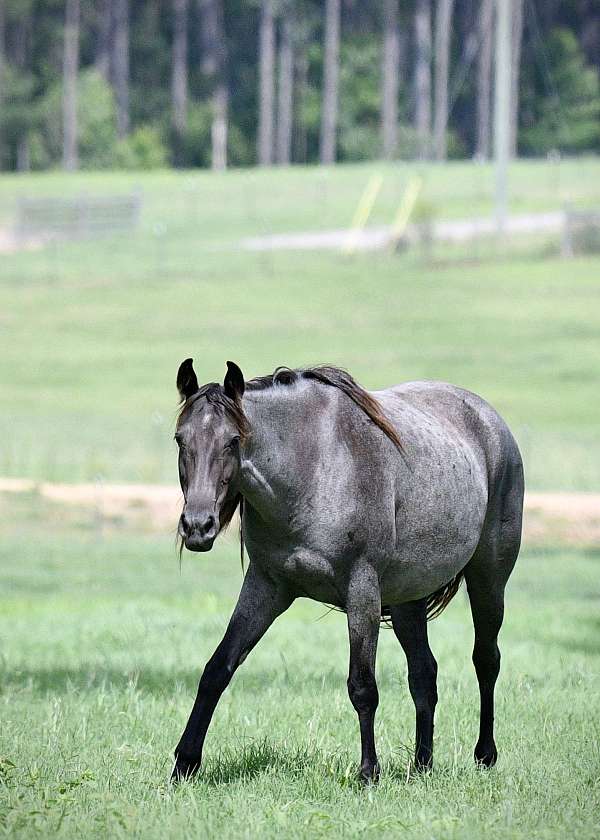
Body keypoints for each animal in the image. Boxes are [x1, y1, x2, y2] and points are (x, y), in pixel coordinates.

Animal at [171, 359, 524, 784]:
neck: (312, 467)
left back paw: (485, 754)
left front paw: (368, 771)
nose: (198, 526)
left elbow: (363, 686)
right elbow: (217, 669)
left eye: (233, 440)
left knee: (486, 660)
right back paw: (421, 764)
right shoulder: (266, 586)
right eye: (180, 439)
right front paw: (184, 764)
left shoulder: (362, 591)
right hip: (407, 601)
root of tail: (490, 420)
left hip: (489, 580)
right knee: (424, 674)